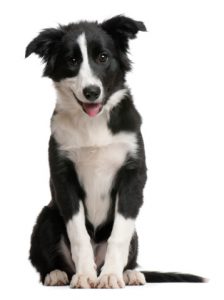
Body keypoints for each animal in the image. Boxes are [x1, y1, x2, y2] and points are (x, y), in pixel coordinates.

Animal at [25, 15, 204, 288]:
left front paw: (111, 275)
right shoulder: (63, 176)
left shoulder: (132, 175)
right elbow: (78, 234)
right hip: (47, 216)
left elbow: (119, 234)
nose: (91, 92)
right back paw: (57, 274)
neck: (93, 123)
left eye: (103, 57)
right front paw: (84, 275)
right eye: (72, 60)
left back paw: (128, 273)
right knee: (49, 259)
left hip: (136, 235)